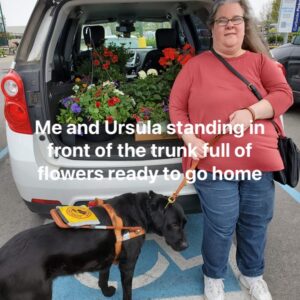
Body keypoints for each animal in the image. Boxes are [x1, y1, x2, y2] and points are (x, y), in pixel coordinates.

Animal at [0, 192, 188, 300]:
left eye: (184, 223)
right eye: (174, 225)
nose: (186, 246)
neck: (140, 209)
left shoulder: (105, 259)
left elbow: (103, 279)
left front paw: (106, 292)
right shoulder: (128, 264)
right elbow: (128, 290)